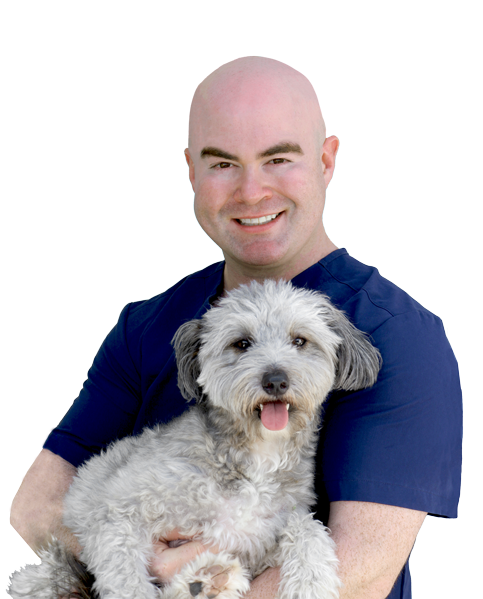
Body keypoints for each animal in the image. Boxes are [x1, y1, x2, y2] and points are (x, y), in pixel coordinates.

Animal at [7, 282, 384, 599]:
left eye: (300, 341)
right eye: (242, 343)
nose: (276, 380)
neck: (256, 456)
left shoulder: (262, 536)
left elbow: (309, 529)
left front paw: (310, 582)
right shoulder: (116, 513)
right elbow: (127, 579)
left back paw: (205, 581)